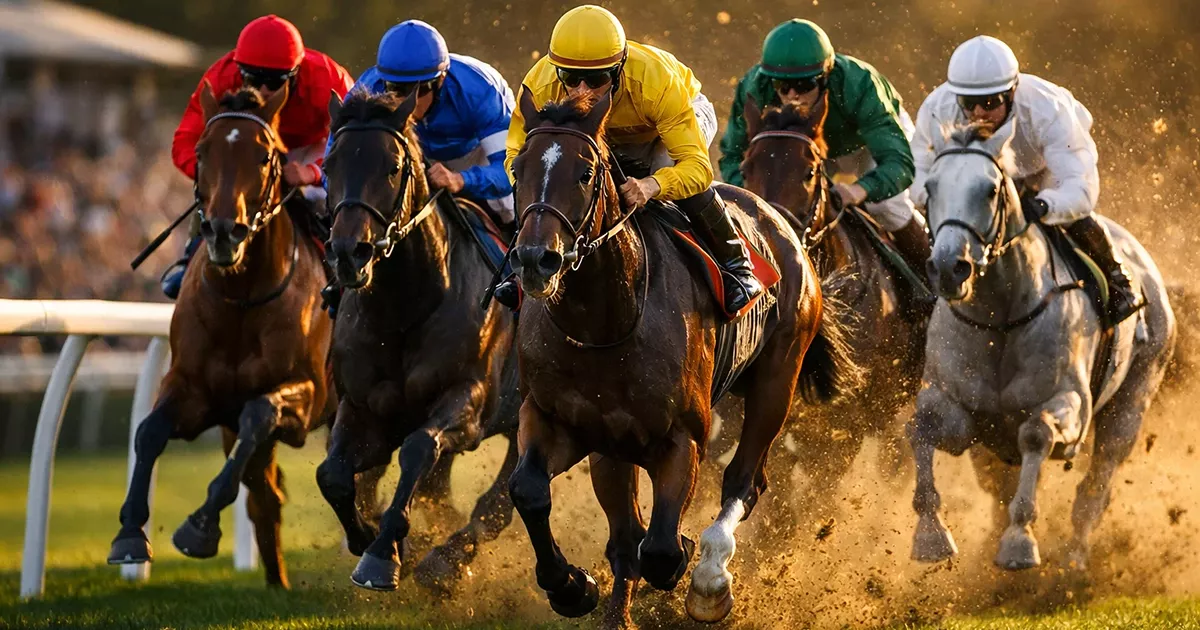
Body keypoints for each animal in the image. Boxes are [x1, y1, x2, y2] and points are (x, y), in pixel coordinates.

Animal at [107, 84, 333, 588]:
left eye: (266, 155)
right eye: (201, 152)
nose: (224, 231)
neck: (241, 299)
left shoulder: (311, 396)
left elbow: (260, 413)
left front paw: (200, 526)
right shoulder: (194, 389)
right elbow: (149, 432)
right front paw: (130, 534)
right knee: (265, 493)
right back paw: (278, 582)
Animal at [316, 89, 520, 593]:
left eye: (393, 167)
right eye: (329, 164)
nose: (348, 253)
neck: (406, 308)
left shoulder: (469, 400)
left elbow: (420, 448)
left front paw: (384, 552)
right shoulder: (364, 406)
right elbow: (333, 474)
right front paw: (366, 536)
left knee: (498, 502)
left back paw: (445, 561)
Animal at [506, 90, 851, 627]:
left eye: (585, 173)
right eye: (518, 169)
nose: (535, 259)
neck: (604, 323)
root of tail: (781, 223)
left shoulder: (682, 439)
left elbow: (663, 549)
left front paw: (684, 561)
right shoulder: (558, 421)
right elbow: (530, 490)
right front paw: (571, 587)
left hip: (778, 377)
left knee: (744, 481)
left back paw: (710, 578)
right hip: (614, 446)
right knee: (626, 533)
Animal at [910, 120, 1175, 571]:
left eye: (990, 190)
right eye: (930, 186)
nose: (948, 267)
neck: (1000, 320)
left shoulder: (1070, 405)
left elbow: (1037, 434)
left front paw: (1019, 542)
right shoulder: (959, 408)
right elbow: (921, 428)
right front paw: (930, 535)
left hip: (1135, 396)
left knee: (1096, 486)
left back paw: (1073, 563)